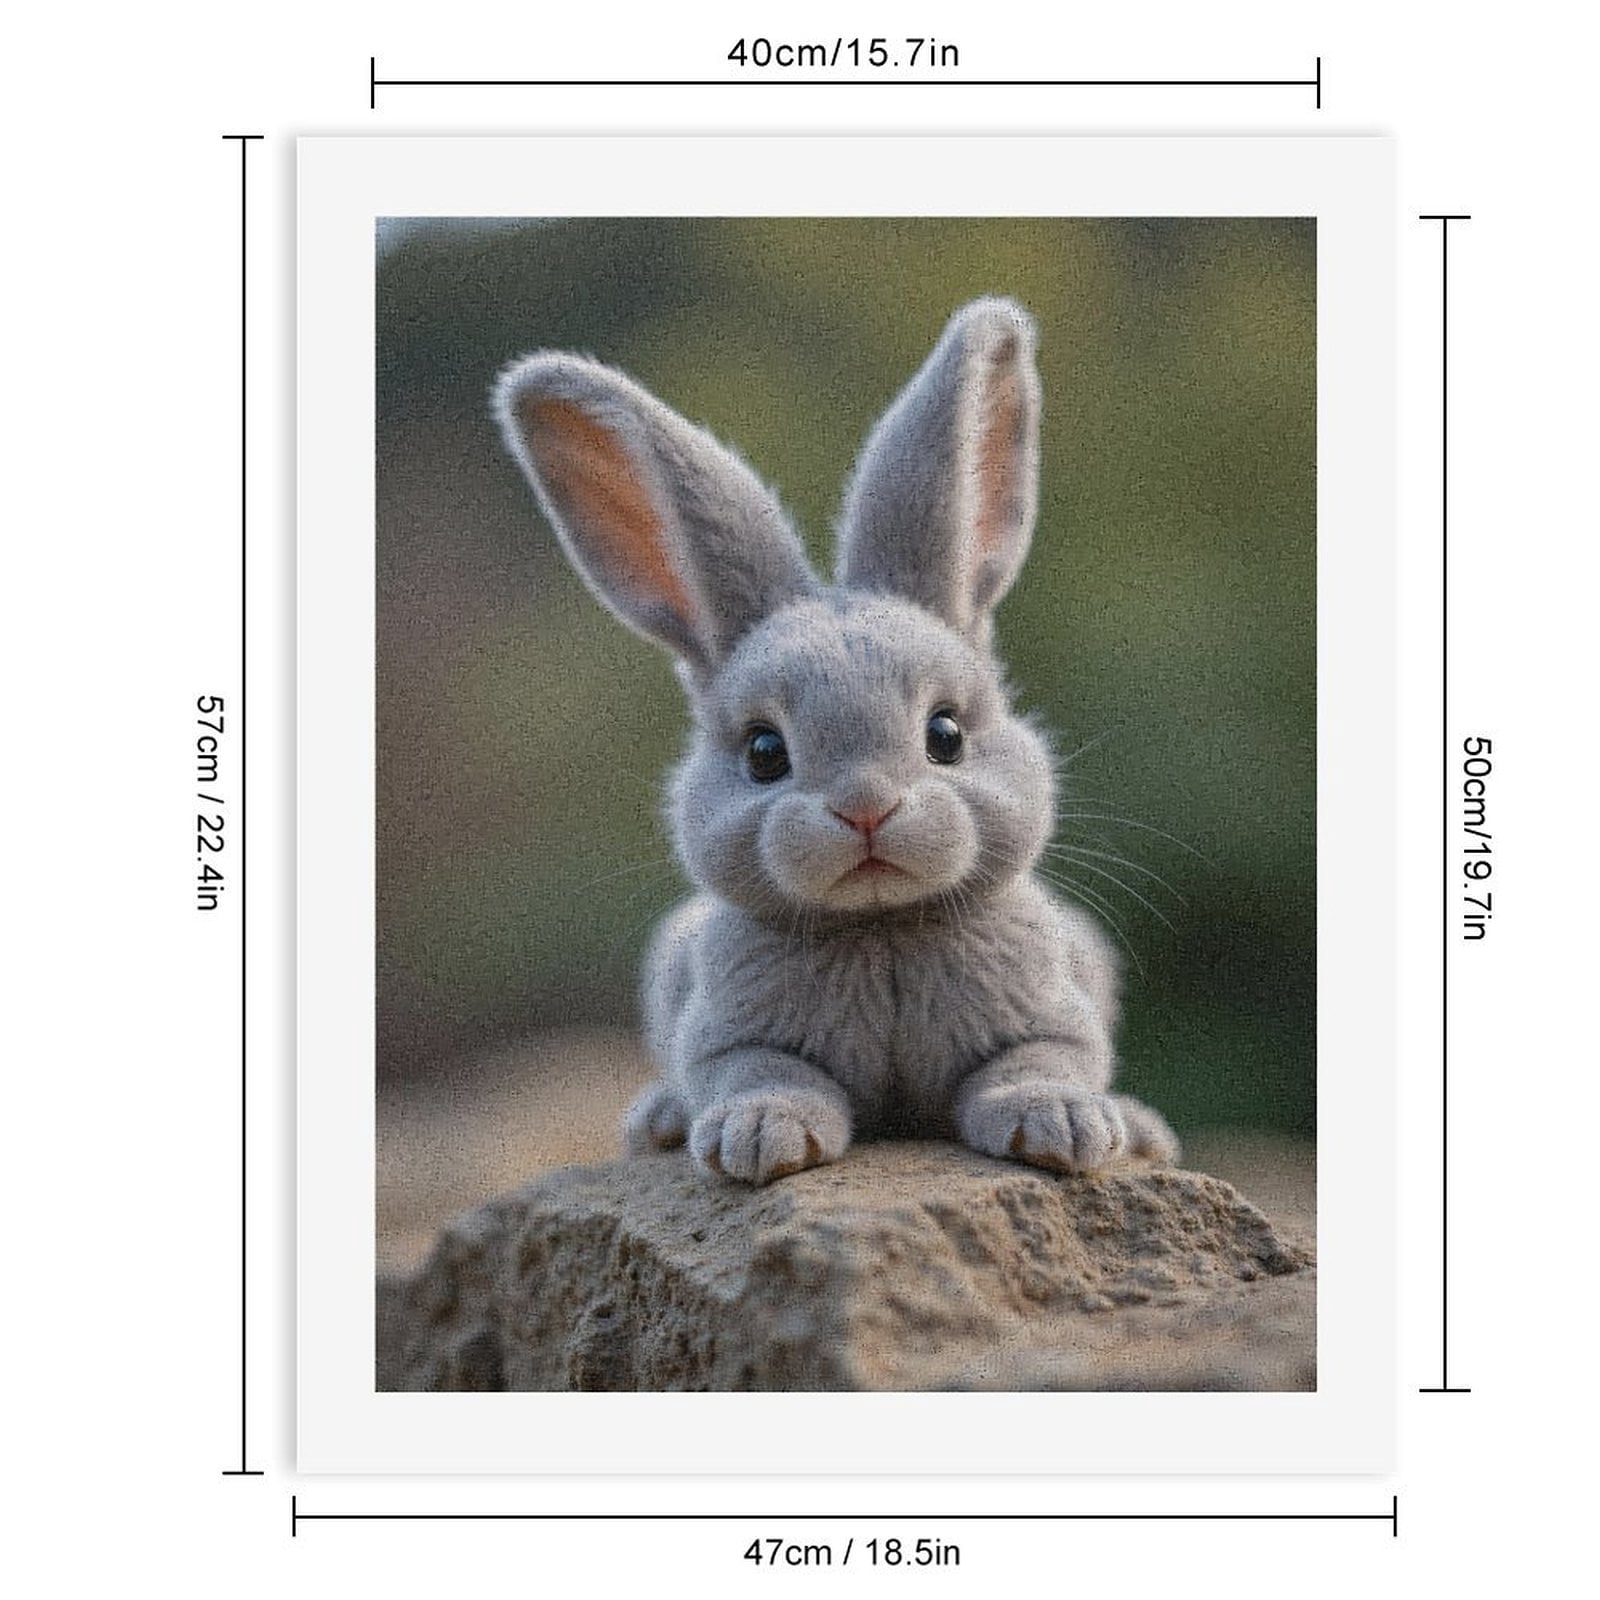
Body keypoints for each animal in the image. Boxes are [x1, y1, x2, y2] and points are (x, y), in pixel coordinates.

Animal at [494, 296, 1181, 1185]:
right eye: (764, 753)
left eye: (945, 734)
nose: (865, 808)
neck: (878, 927)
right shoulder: (730, 1040)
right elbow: (765, 1076)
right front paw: (758, 1139)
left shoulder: (1049, 1020)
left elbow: (1036, 1065)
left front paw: (1062, 1128)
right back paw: (661, 1121)